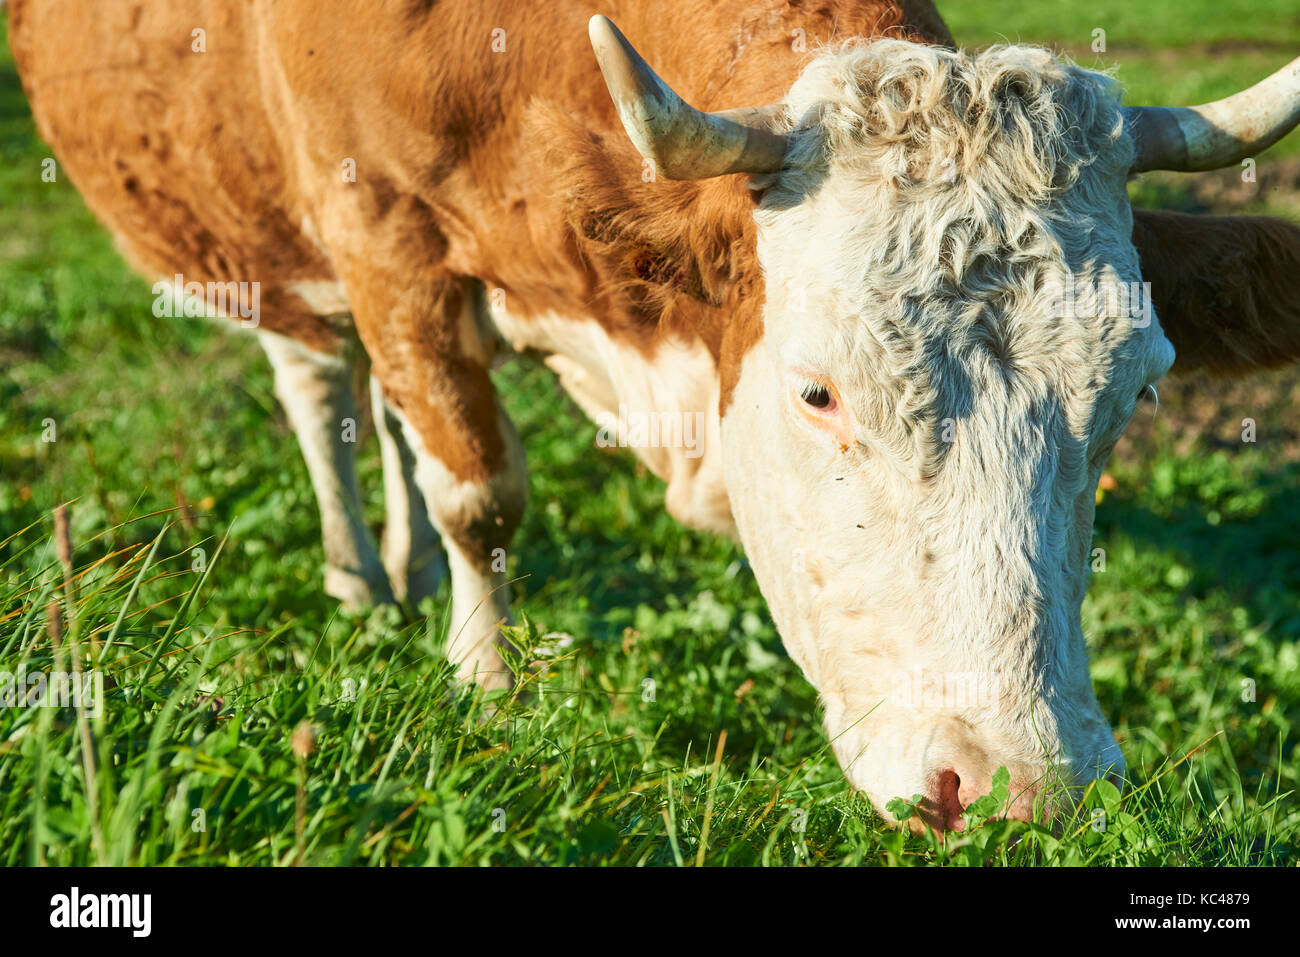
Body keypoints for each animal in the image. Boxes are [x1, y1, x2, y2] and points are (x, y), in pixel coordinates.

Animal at [10, 0, 1300, 833]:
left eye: (1136, 391)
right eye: (816, 392)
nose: (1026, 793)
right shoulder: (378, 236)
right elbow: (478, 493)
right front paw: (487, 683)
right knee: (322, 384)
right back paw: (356, 575)